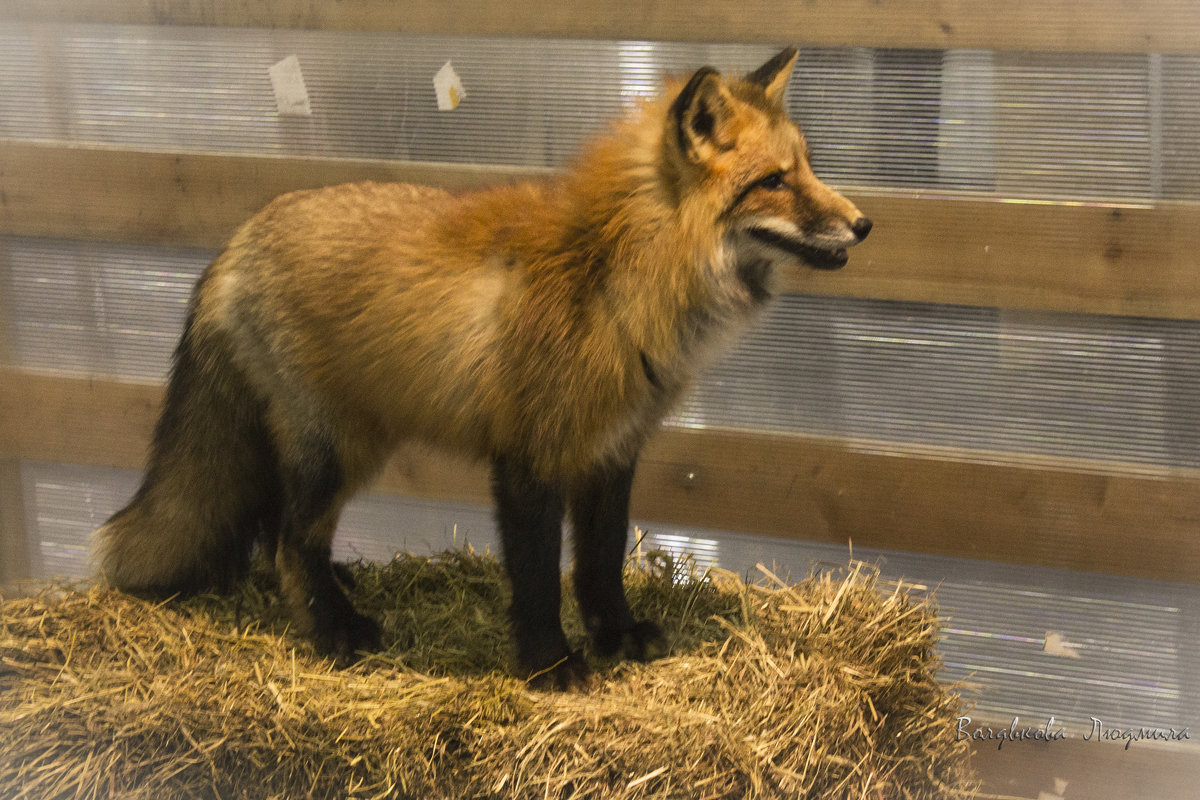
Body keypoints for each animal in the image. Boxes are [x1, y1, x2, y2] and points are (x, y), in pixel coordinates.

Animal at [93, 48, 873, 690]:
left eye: (807, 168)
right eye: (774, 181)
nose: (864, 225)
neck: (615, 274)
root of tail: (232, 246)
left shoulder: (612, 450)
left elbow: (600, 562)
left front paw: (617, 637)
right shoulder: (531, 456)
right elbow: (536, 577)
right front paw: (551, 667)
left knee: (278, 535)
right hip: (335, 448)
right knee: (290, 542)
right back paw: (336, 629)